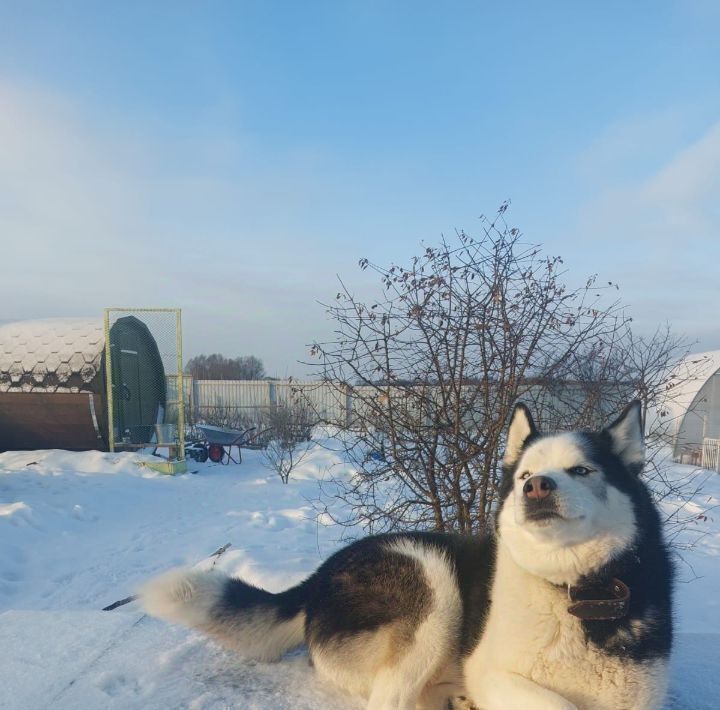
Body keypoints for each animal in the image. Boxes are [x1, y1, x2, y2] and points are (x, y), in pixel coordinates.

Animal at [142, 404, 676, 708]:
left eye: (582, 470)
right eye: (526, 475)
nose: (537, 487)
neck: (573, 591)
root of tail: (319, 577)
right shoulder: (490, 670)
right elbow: (553, 703)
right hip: (431, 587)